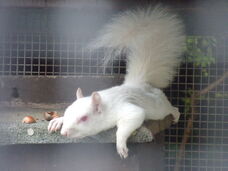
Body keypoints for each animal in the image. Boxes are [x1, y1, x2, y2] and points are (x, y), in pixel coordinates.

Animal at [48, 6, 185, 160]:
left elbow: (131, 120)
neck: (105, 106)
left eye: (84, 118)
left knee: (169, 109)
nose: (64, 132)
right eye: (67, 111)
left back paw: (175, 113)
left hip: (158, 107)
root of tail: (138, 84)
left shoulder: (126, 110)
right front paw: (58, 120)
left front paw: (120, 145)